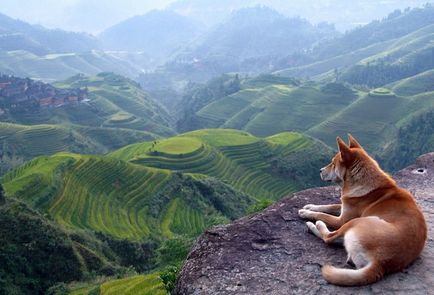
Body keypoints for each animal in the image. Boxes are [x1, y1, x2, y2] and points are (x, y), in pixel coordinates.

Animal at [298, 136, 428, 286]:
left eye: (333, 163)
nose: (319, 170)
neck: (364, 181)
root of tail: (381, 264)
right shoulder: (345, 206)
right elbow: (329, 205)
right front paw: (310, 206)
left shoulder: (342, 220)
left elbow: (323, 214)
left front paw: (306, 213)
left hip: (356, 222)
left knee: (329, 237)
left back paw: (314, 225)